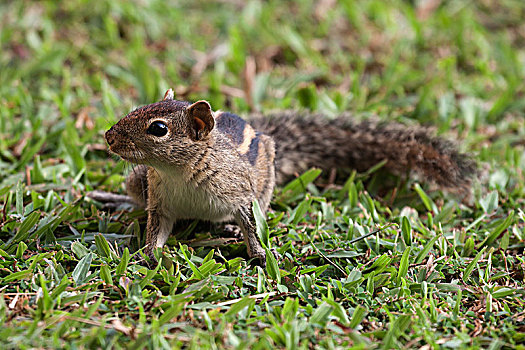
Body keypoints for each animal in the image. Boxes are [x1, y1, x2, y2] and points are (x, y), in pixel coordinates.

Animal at [89, 89, 474, 264]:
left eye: (158, 129)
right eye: (138, 108)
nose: (109, 137)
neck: (178, 173)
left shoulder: (239, 193)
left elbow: (248, 220)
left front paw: (258, 253)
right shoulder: (160, 201)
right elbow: (156, 230)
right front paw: (147, 256)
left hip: (265, 182)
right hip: (136, 180)